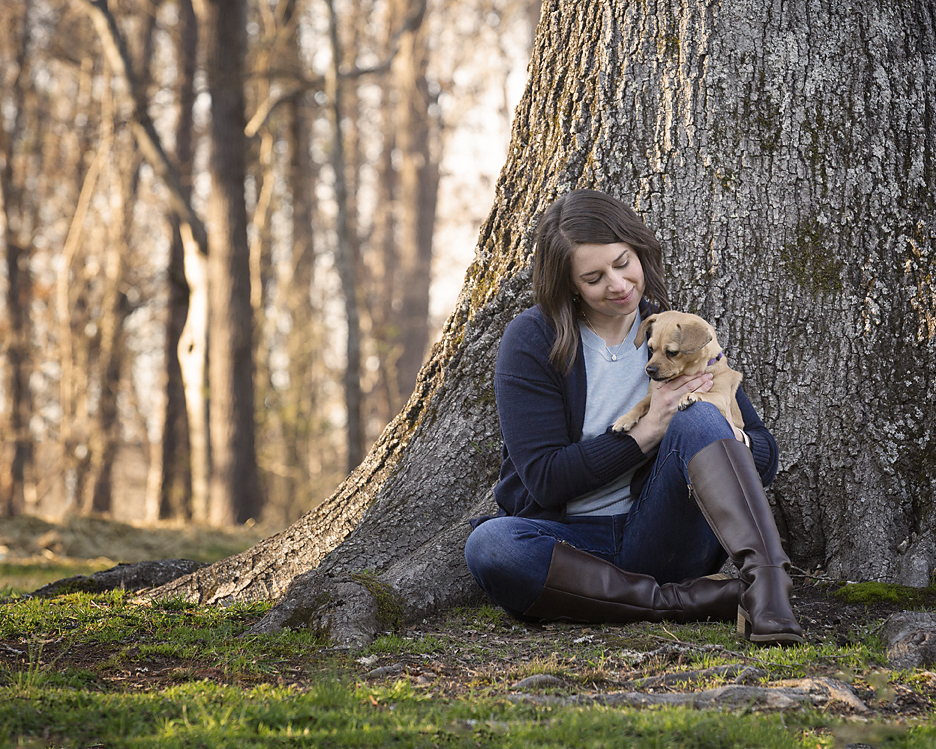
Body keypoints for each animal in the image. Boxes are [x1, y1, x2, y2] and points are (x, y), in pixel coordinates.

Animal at [616, 310, 744, 432]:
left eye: (672, 352)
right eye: (650, 348)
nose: (649, 370)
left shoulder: (722, 398)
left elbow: (702, 393)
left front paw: (690, 396)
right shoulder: (651, 395)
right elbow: (640, 404)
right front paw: (625, 419)